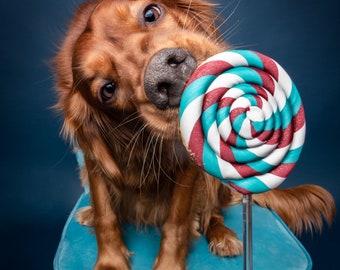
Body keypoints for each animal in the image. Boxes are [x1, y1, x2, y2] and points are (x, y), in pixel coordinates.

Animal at [54, 1, 336, 268]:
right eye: (108, 90)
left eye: (151, 13)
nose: (167, 77)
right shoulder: (93, 161)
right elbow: (106, 214)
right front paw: (110, 262)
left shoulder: (189, 159)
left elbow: (177, 222)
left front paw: (168, 264)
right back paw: (89, 213)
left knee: (213, 214)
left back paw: (222, 236)